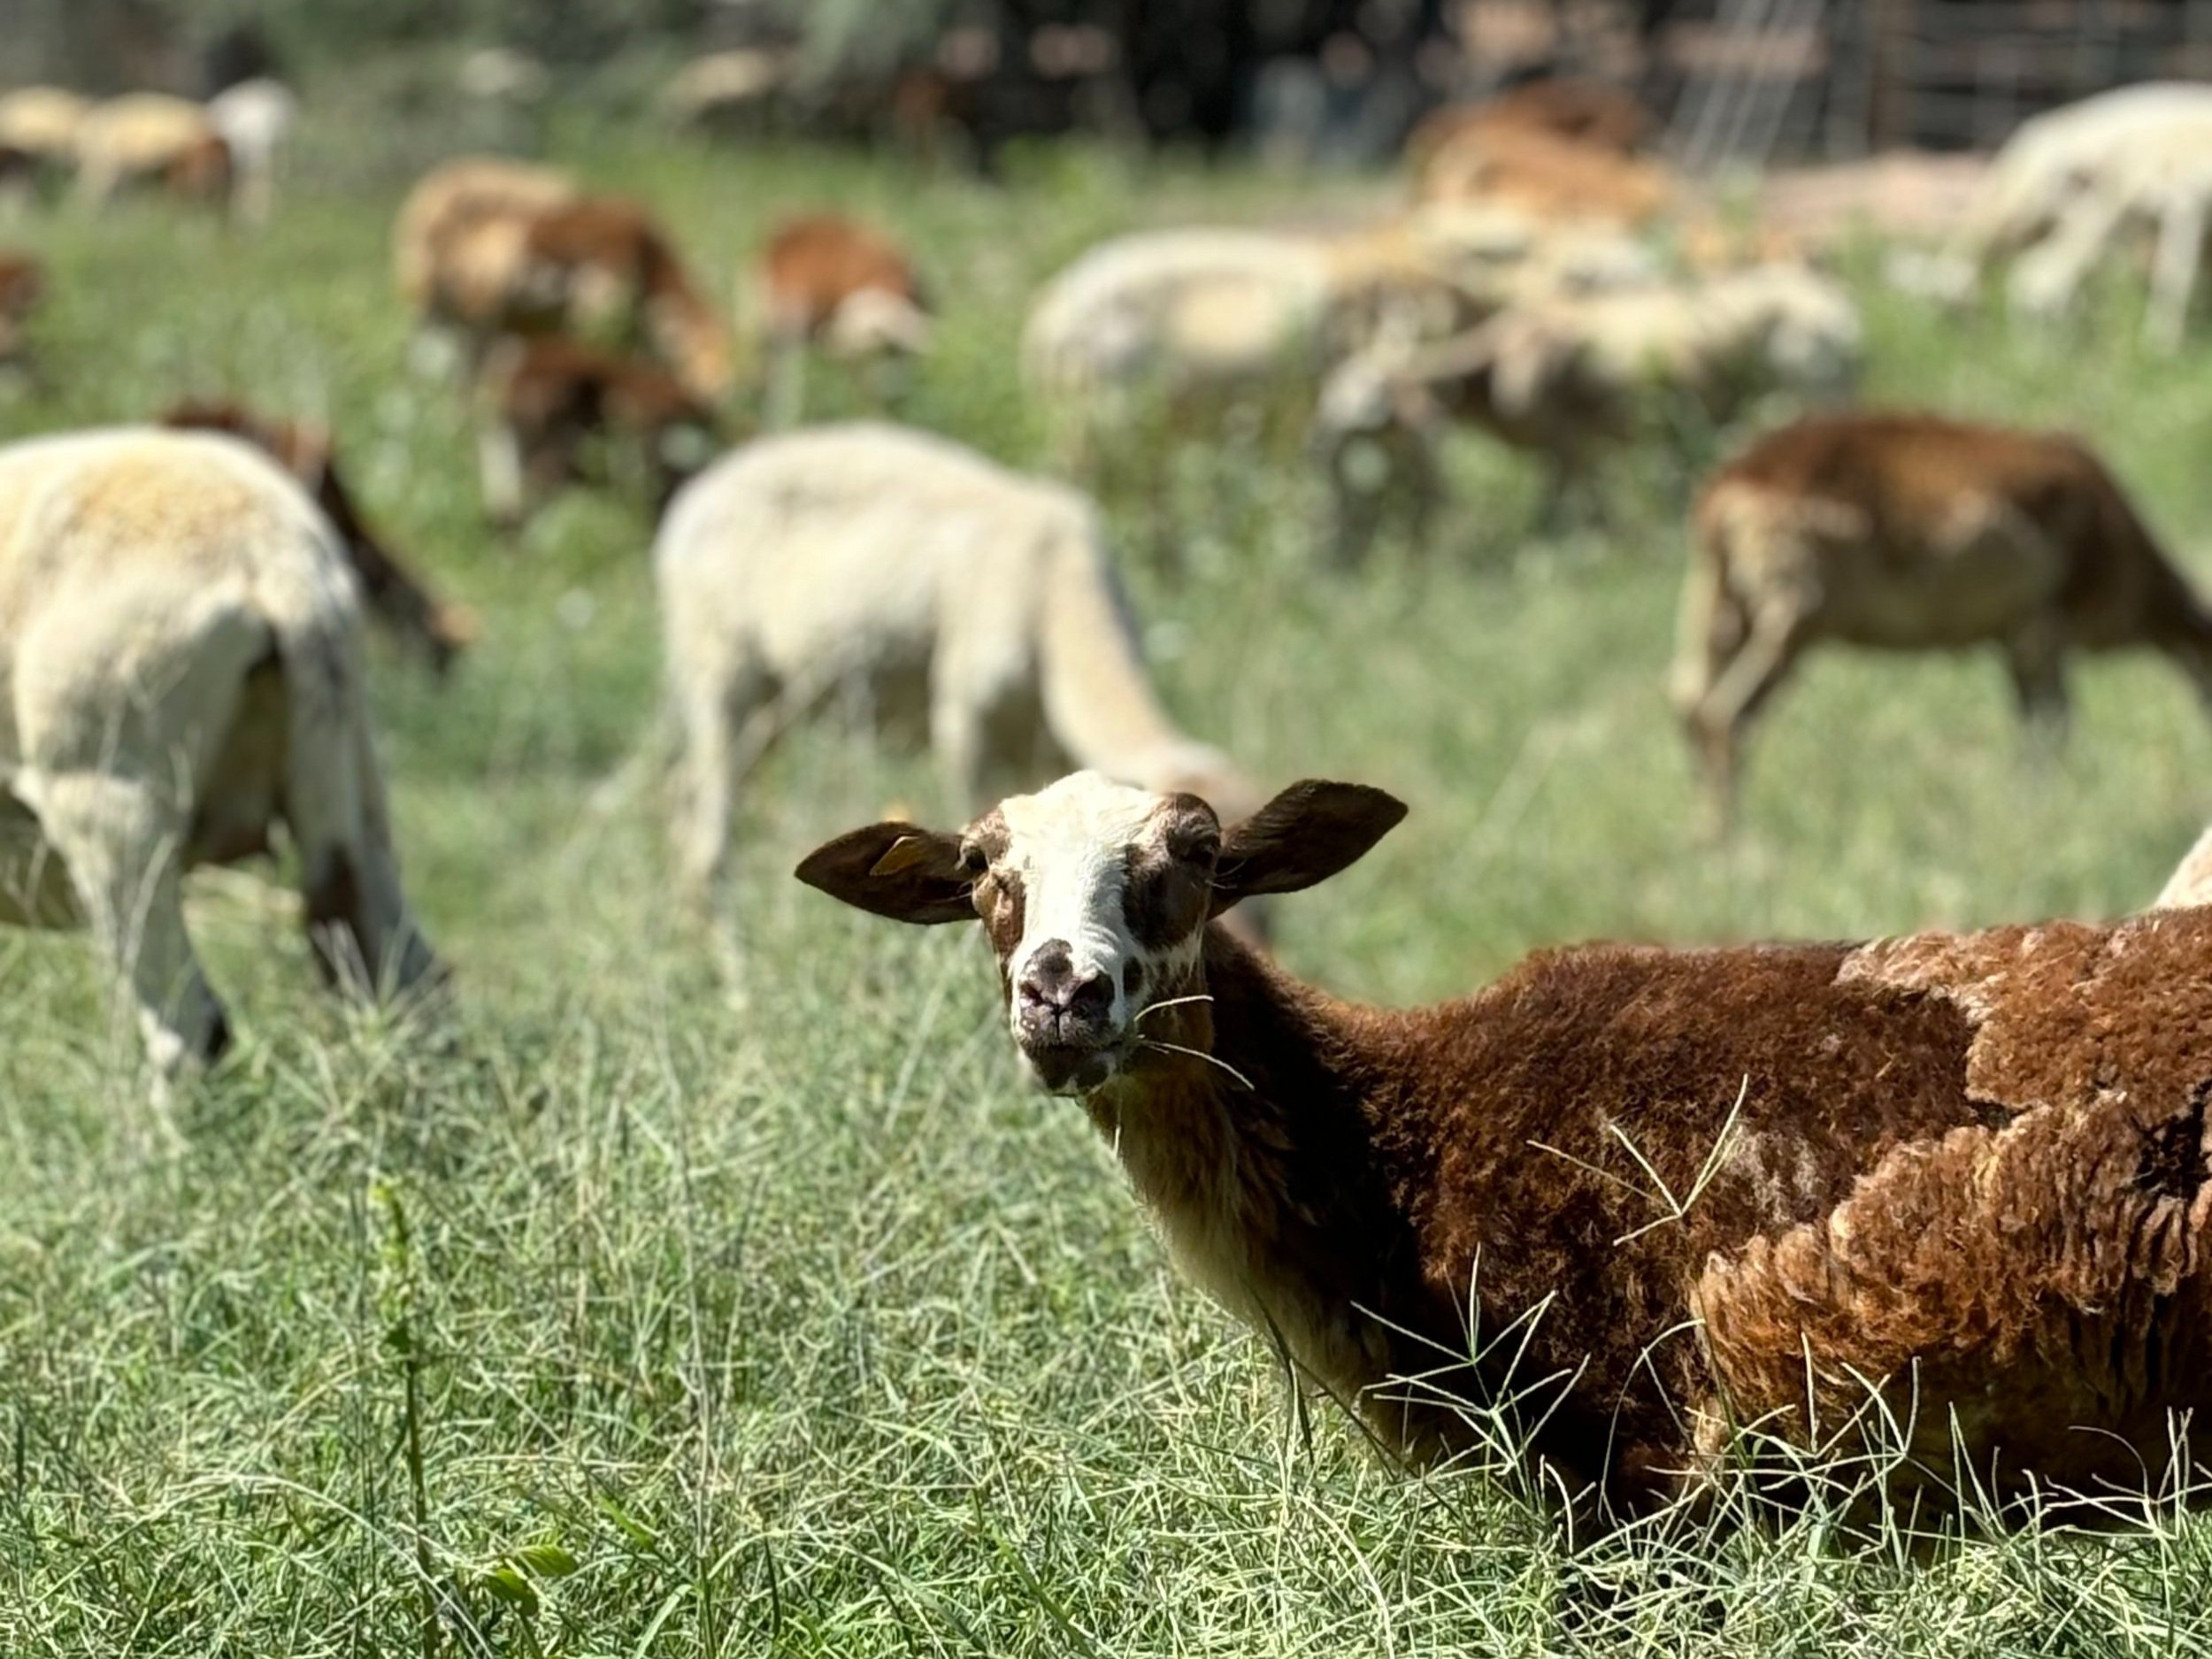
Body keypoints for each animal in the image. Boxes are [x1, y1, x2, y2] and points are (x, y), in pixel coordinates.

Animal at [651, 423, 1258, 898]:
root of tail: (695, 497)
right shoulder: (966, 717)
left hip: (774, 703)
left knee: (686, 804)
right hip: (717, 671)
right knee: (710, 845)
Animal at [1314, 263, 1862, 550]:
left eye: (1373, 388)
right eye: (1333, 386)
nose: (1323, 437)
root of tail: (1836, 311)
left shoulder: (1569, 446)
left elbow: (1559, 513)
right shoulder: (1585, 451)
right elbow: (1589, 508)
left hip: (1809, 398)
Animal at [1674, 411, 2212, 827]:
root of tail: (1722, 495)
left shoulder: (2015, 637)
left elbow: (2033, 723)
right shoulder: (2040, 629)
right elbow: (2053, 726)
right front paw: (2044, 811)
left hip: (1719, 604)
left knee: (1687, 701)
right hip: (1793, 607)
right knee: (1725, 717)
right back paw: (1735, 847)